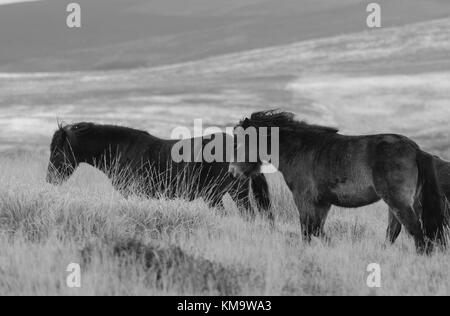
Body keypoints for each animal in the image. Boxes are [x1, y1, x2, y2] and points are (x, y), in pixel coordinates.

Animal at [230, 110, 448, 253]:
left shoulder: (303, 199)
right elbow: (317, 230)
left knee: (416, 233)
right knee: (394, 231)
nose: (232, 170)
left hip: (398, 202)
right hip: (399, 203)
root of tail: (415, 150)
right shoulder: (322, 203)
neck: (299, 149)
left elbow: (307, 231)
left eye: (241, 142)